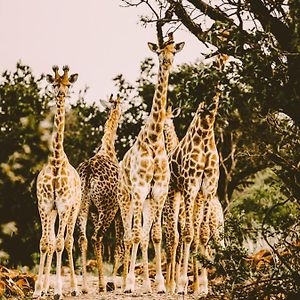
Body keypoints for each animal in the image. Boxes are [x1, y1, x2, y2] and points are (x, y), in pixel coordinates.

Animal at [118, 32, 184, 292]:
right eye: (158, 52)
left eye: (173, 51)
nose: (167, 62)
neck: (155, 138)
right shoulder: (139, 189)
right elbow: (136, 235)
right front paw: (130, 285)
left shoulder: (158, 192)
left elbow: (155, 235)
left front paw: (160, 285)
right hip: (126, 198)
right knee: (129, 236)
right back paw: (124, 283)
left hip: (145, 201)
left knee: (144, 236)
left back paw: (145, 282)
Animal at [164, 55, 227, 294]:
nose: (222, 61)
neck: (206, 130)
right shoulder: (190, 185)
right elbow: (188, 234)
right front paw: (182, 284)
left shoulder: (208, 186)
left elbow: (202, 234)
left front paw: (203, 286)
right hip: (175, 192)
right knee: (175, 234)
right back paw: (173, 284)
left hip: (200, 201)